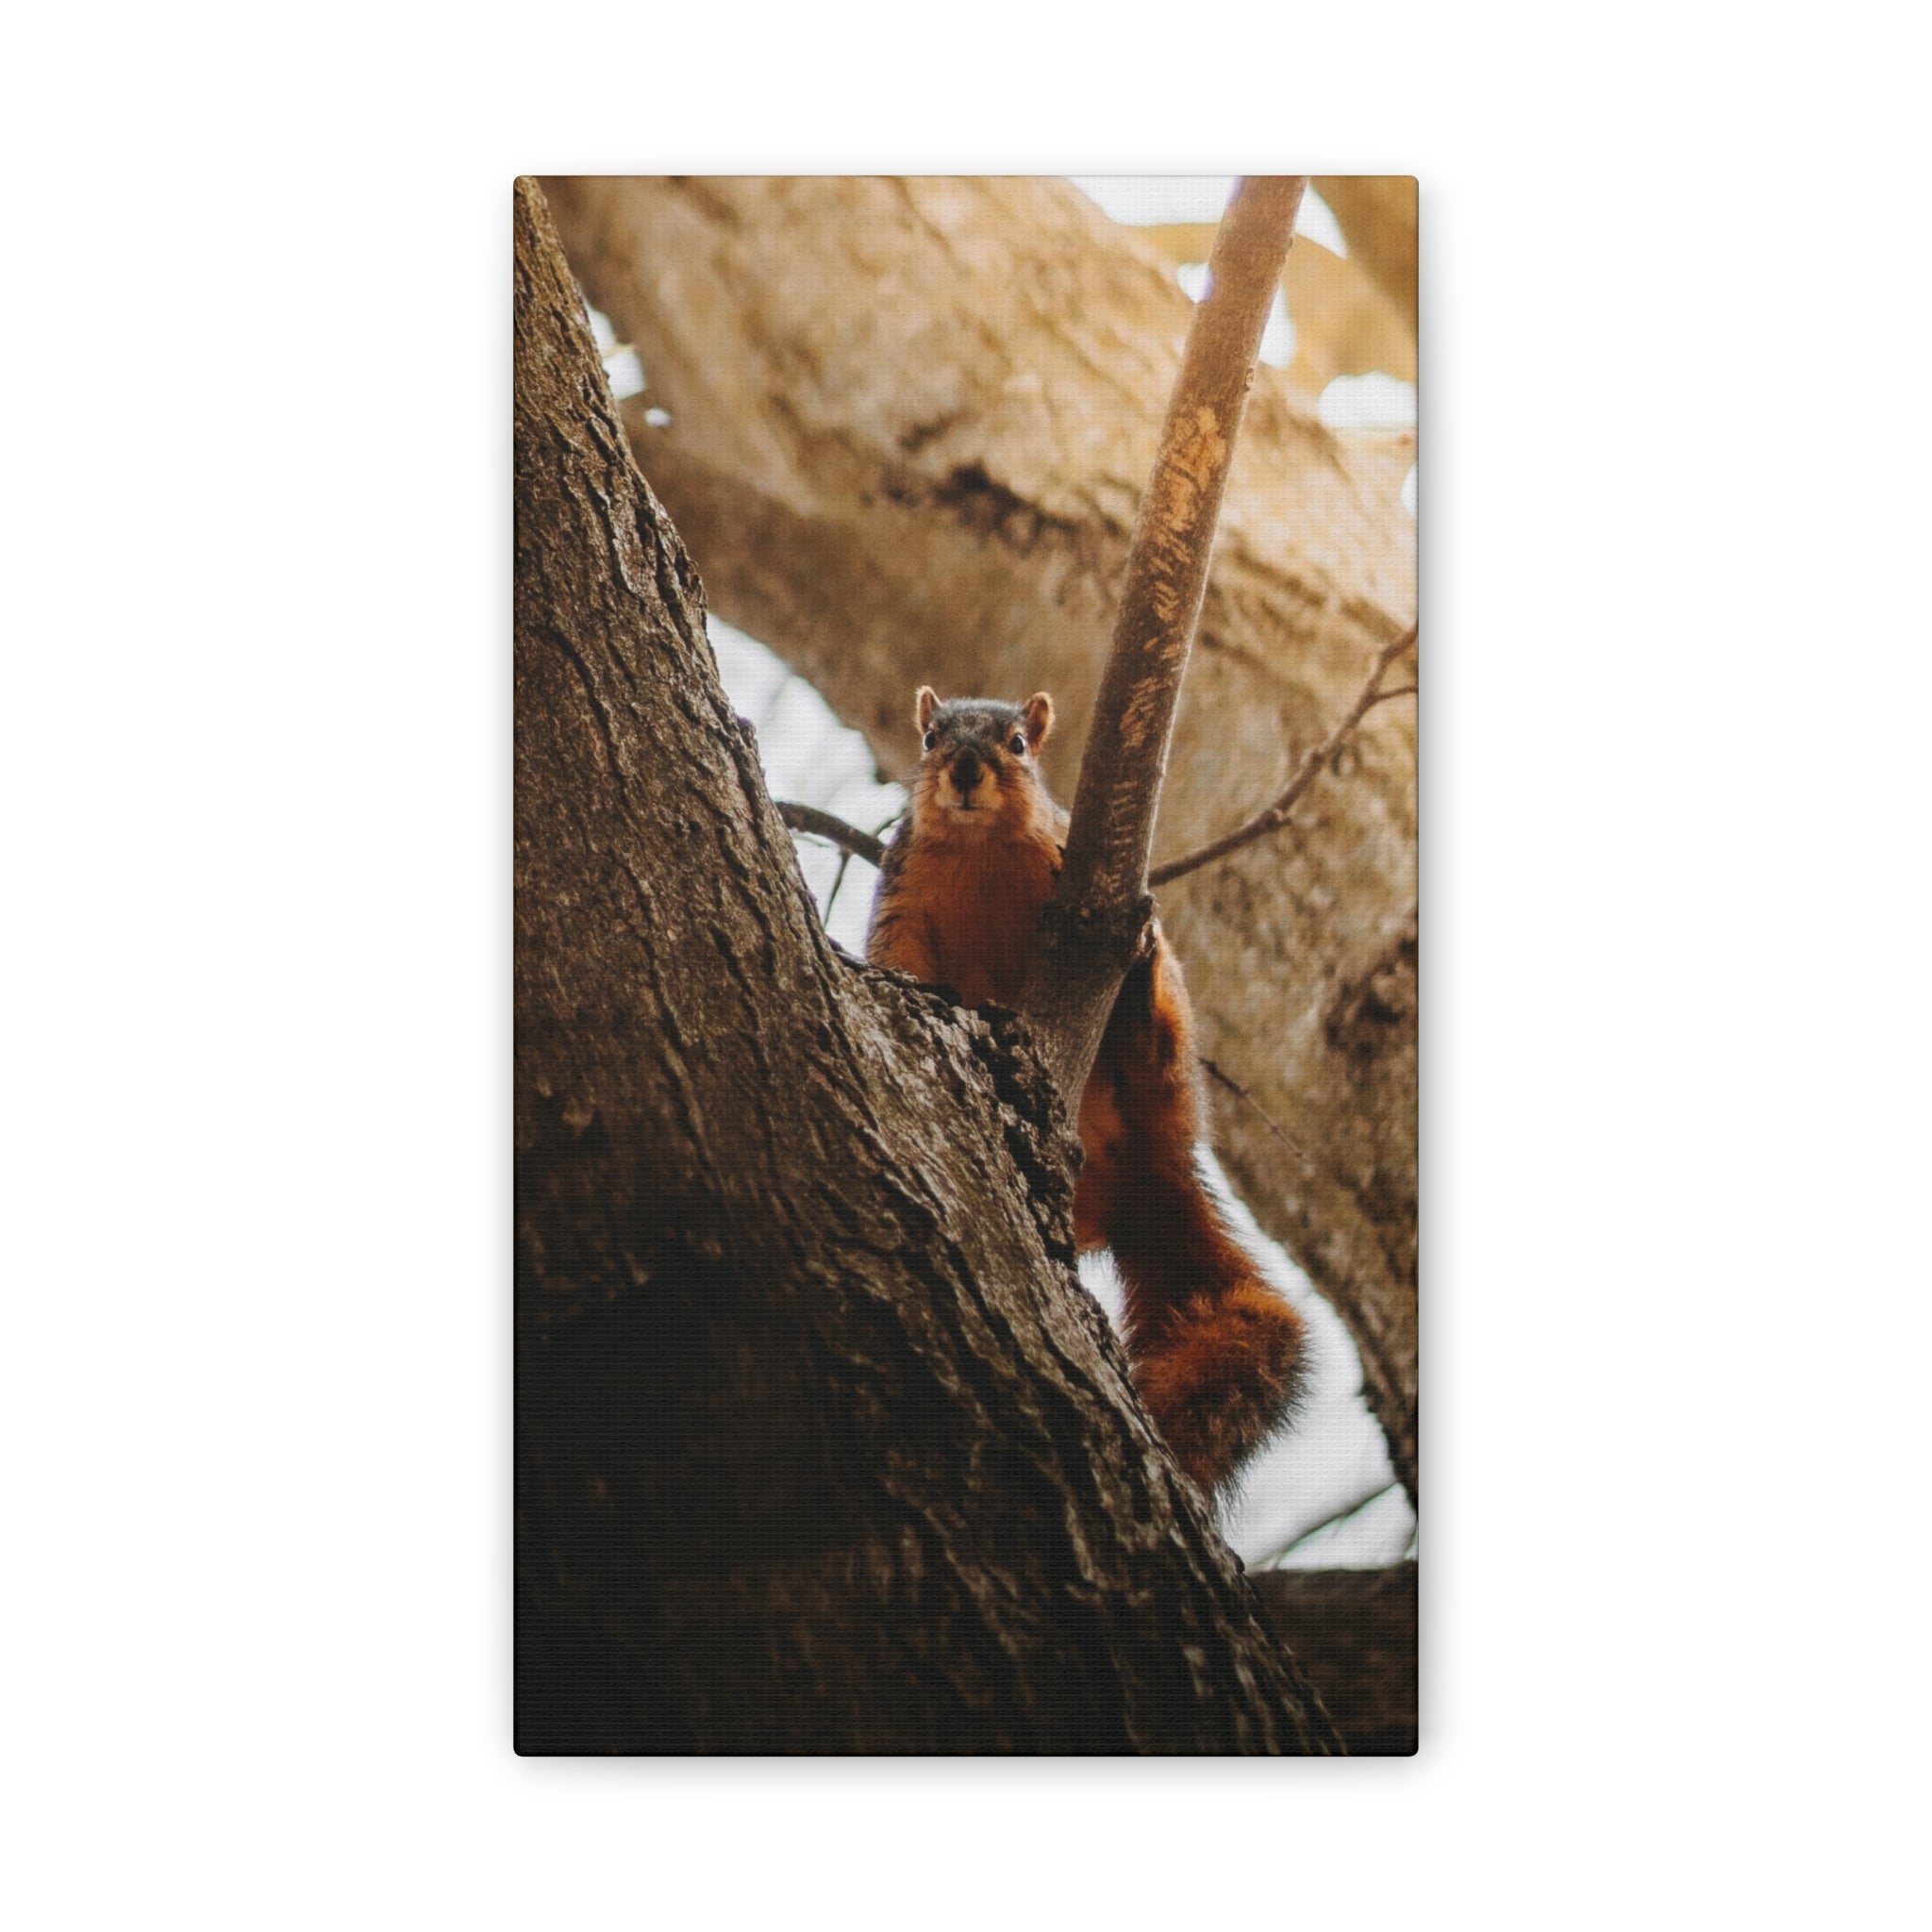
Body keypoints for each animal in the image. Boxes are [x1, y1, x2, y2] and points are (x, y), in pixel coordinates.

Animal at [866, 685, 1305, 1503]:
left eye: (1017, 744)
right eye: (931, 738)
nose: (965, 769)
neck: (979, 852)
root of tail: (1150, 1172)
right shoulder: (902, 898)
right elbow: (901, 960)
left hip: (1169, 1079)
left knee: (1155, 1054)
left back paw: (1139, 1005)